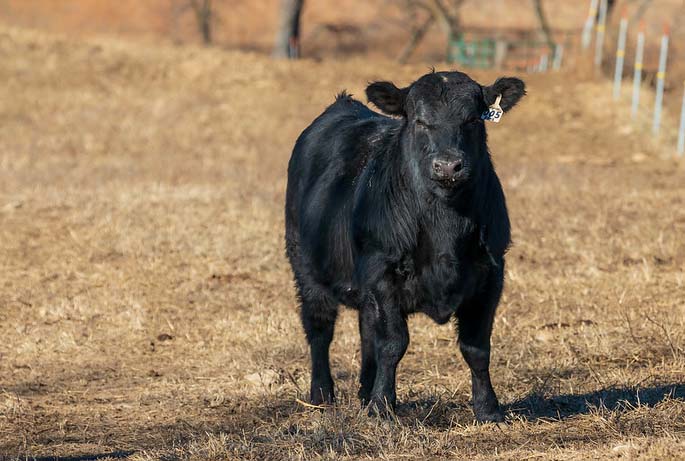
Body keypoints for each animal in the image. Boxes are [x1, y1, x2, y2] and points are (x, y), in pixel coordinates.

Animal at [285, 70, 525, 422]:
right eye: (419, 121)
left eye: (472, 119)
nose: (448, 166)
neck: (444, 227)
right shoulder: (382, 272)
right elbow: (393, 343)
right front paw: (383, 407)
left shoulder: (490, 274)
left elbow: (477, 347)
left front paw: (488, 409)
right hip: (305, 267)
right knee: (319, 328)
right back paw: (321, 395)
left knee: (366, 330)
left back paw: (364, 393)